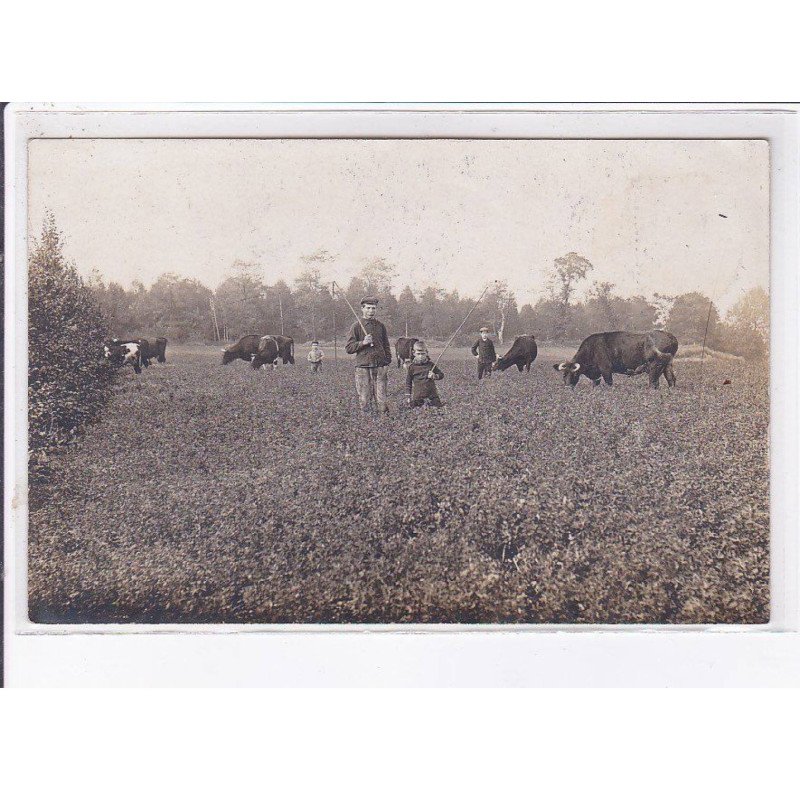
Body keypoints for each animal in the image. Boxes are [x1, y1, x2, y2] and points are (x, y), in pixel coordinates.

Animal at [552, 326, 680, 386]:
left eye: (574, 374)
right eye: (564, 374)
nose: (568, 386)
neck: (592, 349)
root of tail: (672, 337)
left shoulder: (606, 370)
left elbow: (609, 383)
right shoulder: (596, 375)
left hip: (654, 368)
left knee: (654, 383)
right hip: (668, 366)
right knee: (671, 379)